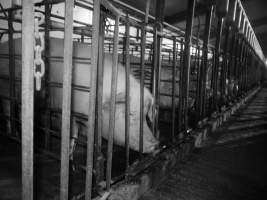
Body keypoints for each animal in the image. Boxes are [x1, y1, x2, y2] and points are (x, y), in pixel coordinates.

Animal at [0, 37, 159, 153]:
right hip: (6, 86)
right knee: (8, 109)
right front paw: (70, 153)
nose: (156, 143)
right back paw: (13, 134)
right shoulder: (67, 109)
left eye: (145, 116)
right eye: (130, 114)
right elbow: (73, 131)